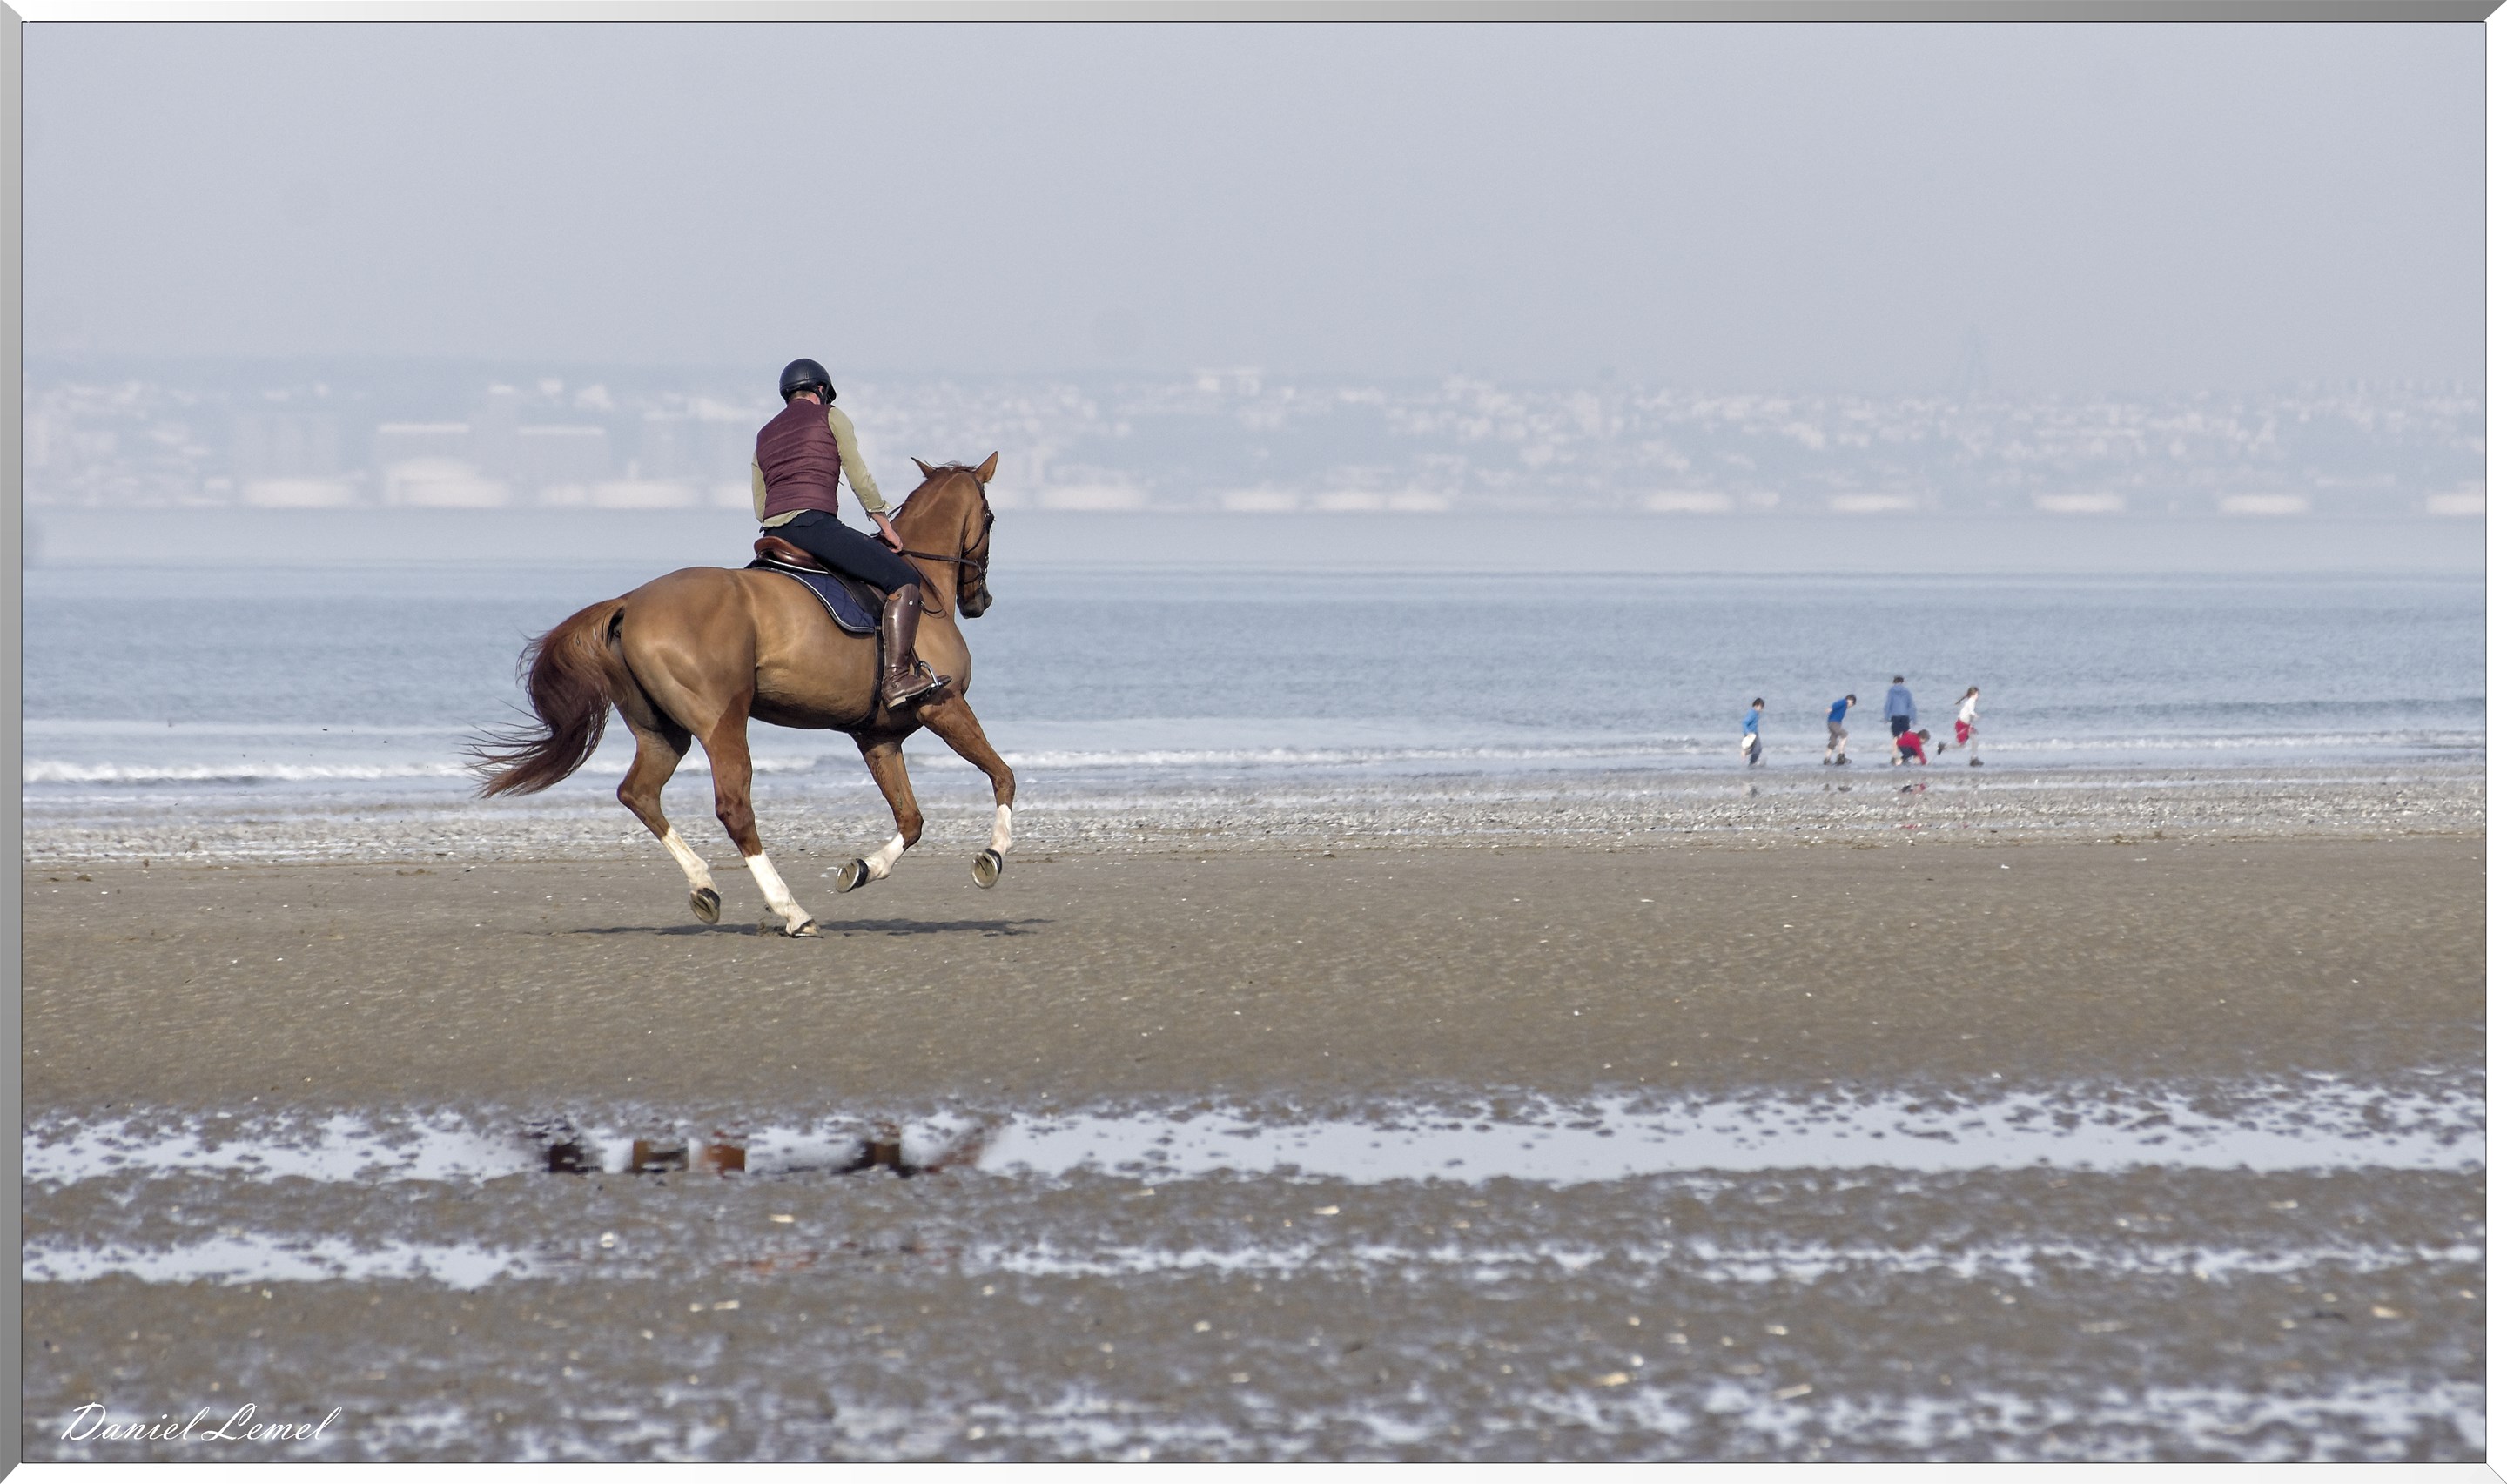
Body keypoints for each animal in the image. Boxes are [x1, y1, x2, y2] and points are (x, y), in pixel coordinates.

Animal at [468, 455, 1013, 937]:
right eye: (990, 518)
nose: (980, 601)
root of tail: (630, 602)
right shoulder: (944, 706)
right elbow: (1002, 776)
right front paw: (992, 855)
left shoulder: (878, 737)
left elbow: (911, 819)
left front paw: (862, 868)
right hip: (723, 724)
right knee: (734, 809)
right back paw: (791, 911)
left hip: (663, 732)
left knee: (638, 793)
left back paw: (703, 887)